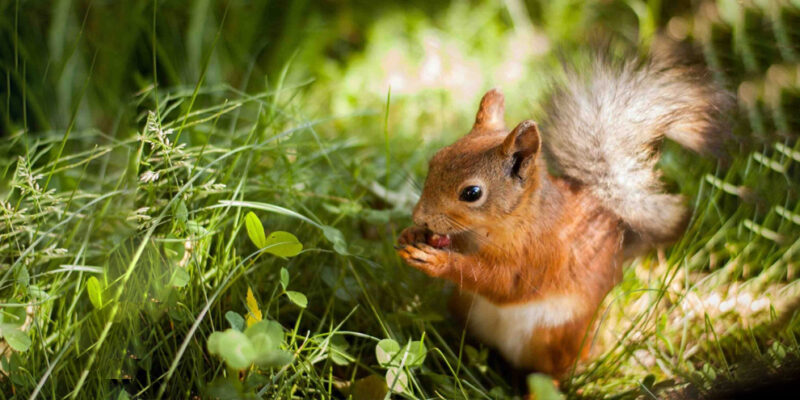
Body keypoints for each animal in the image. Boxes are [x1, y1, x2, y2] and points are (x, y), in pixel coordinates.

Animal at [394, 56, 732, 378]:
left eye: (472, 193)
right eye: (436, 158)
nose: (419, 216)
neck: (499, 226)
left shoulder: (540, 255)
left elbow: (502, 283)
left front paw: (440, 261)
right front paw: (411, 234)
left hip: (557, 338)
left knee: (552, 374)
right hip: (465, 308)